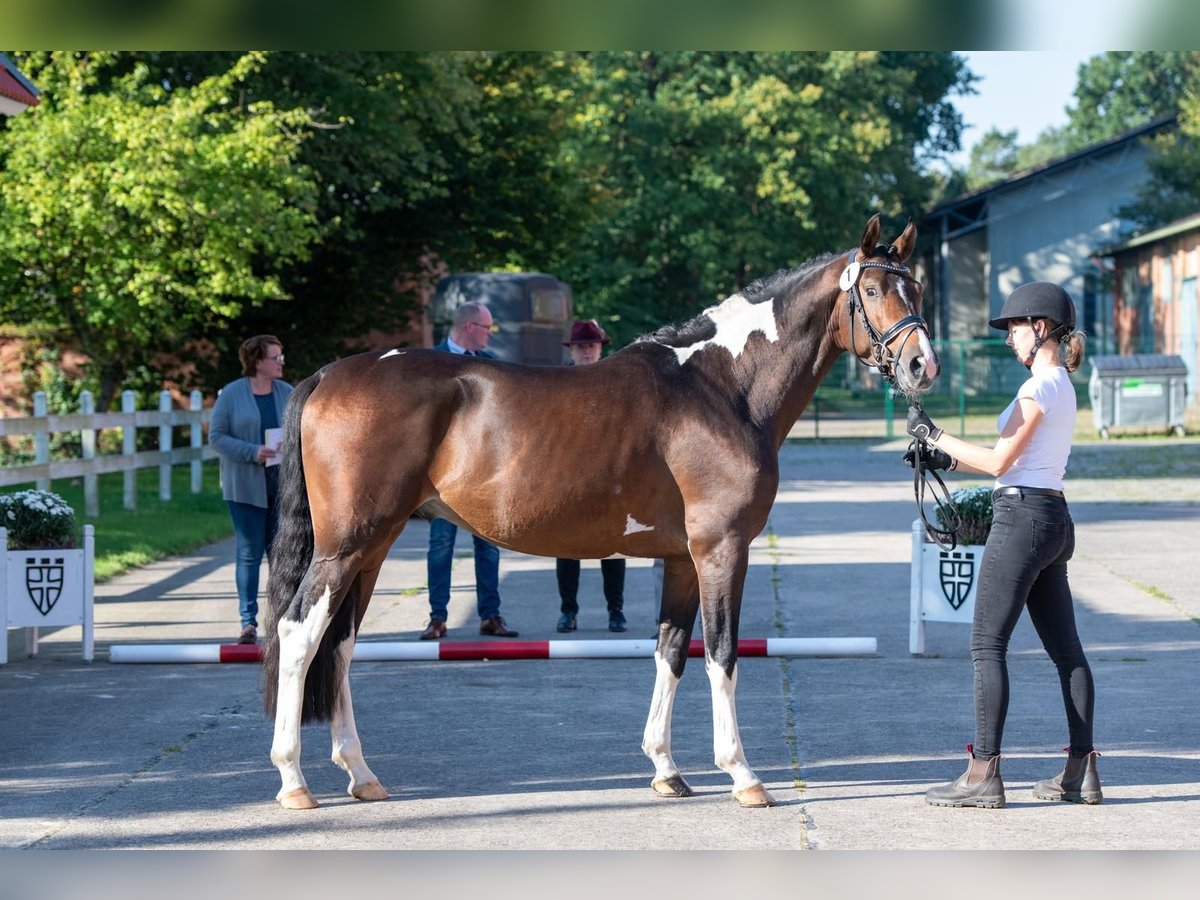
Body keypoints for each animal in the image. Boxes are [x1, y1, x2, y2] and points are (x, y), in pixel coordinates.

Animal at [260, 214, 936, 816]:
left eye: (918, 289)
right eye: (871, 291)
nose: (921, 366)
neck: (722, 389)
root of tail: (328, 374)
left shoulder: (681, 560)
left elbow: (670, 651)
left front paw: (666, 770)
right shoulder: (722, 549)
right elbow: (721, 655)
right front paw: (743, 775)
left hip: (372, 549)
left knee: (340, 646)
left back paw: (361, 775)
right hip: (347, 546)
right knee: (299, 635)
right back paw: (294, 781)